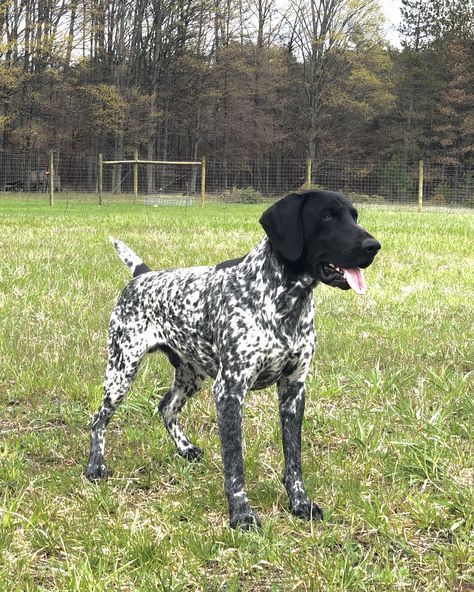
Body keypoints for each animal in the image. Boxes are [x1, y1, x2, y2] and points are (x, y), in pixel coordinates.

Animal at [85, 188, 382, 528]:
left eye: (354, 216)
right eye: (328, 216)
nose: (373, 246)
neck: (283, 302)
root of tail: (143, 275)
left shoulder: (294, 391)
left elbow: (293, 461)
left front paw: (300, 503)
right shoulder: (230, 391)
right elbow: (235, 464)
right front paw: (241, 514)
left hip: (191, 376)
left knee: (165, 407)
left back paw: (185, 449)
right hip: (121, 372)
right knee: (98, 420)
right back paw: (95, 466)